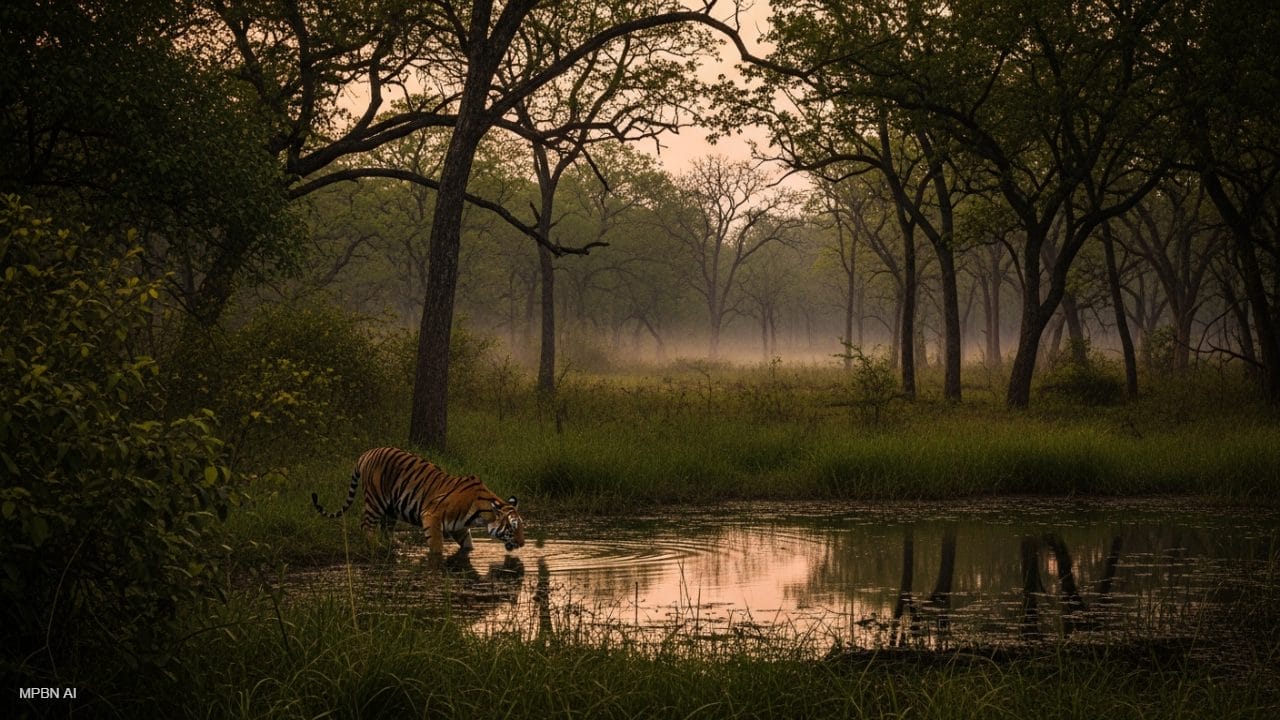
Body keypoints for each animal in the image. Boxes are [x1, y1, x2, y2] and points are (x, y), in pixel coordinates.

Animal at [311, 447, 524, 554]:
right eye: (512, 527)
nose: (522, 544)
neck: (481, 514)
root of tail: (365, 454)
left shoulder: (459, 527)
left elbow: (467, 544)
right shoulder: (431, 516)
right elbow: (436, 546)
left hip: (390, 509)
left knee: (385, 527)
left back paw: (393, 544)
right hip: (375, 501)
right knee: (366, 525)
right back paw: (376, 546)